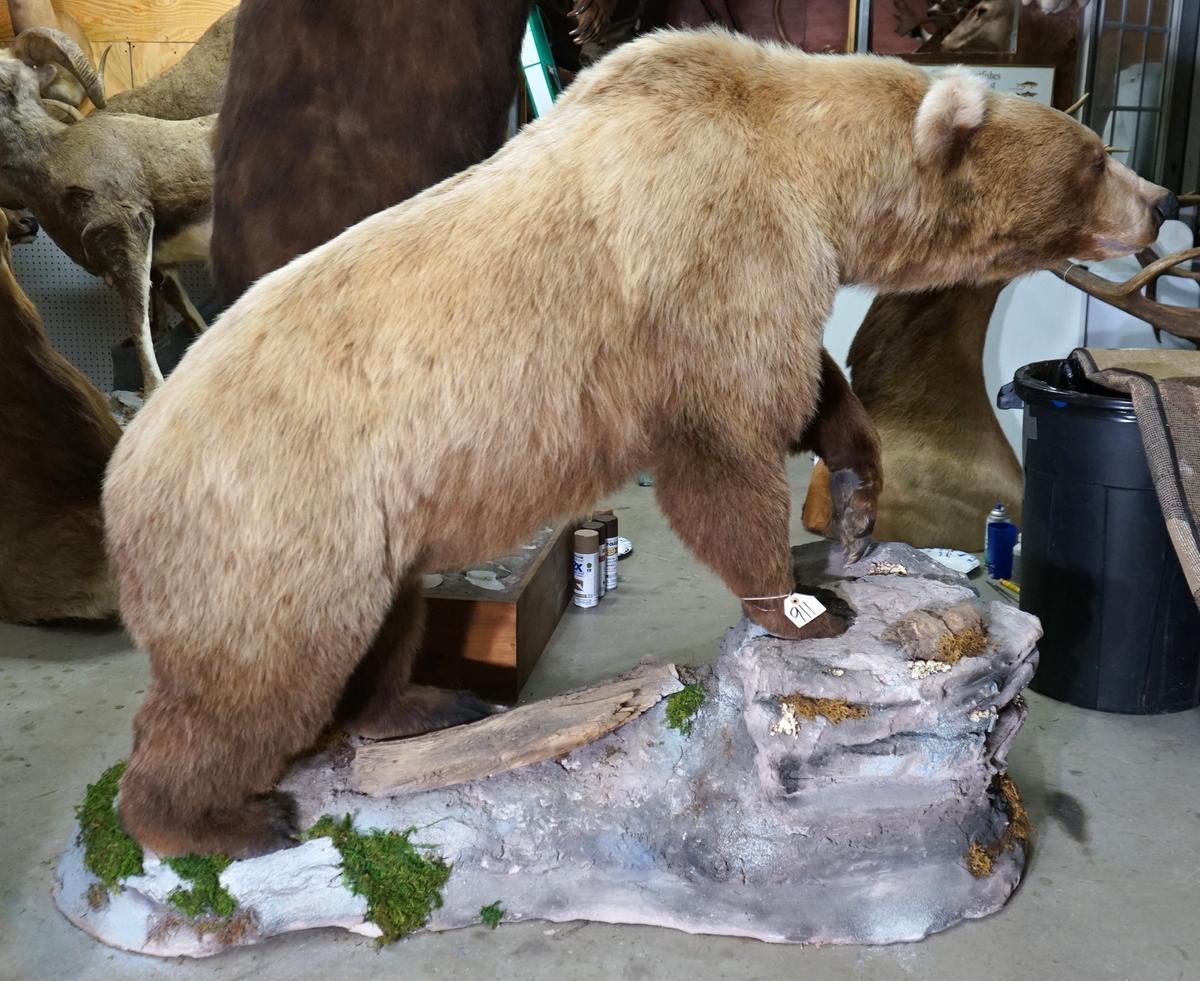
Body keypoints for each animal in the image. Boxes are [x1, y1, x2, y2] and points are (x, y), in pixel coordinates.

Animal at [103, 30, 1171, 853]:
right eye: (1092, 155)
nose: (1161, 198)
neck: (808, 173)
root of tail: (124, 468)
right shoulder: (704, 256)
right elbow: (724, 447)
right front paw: (807, 602)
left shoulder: (764, 272)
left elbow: (806, 389)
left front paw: (860, 489)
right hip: (281, 515)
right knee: (254, 678)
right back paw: (221, 818)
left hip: (365, 531)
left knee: (380, 630)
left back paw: (422, 707)